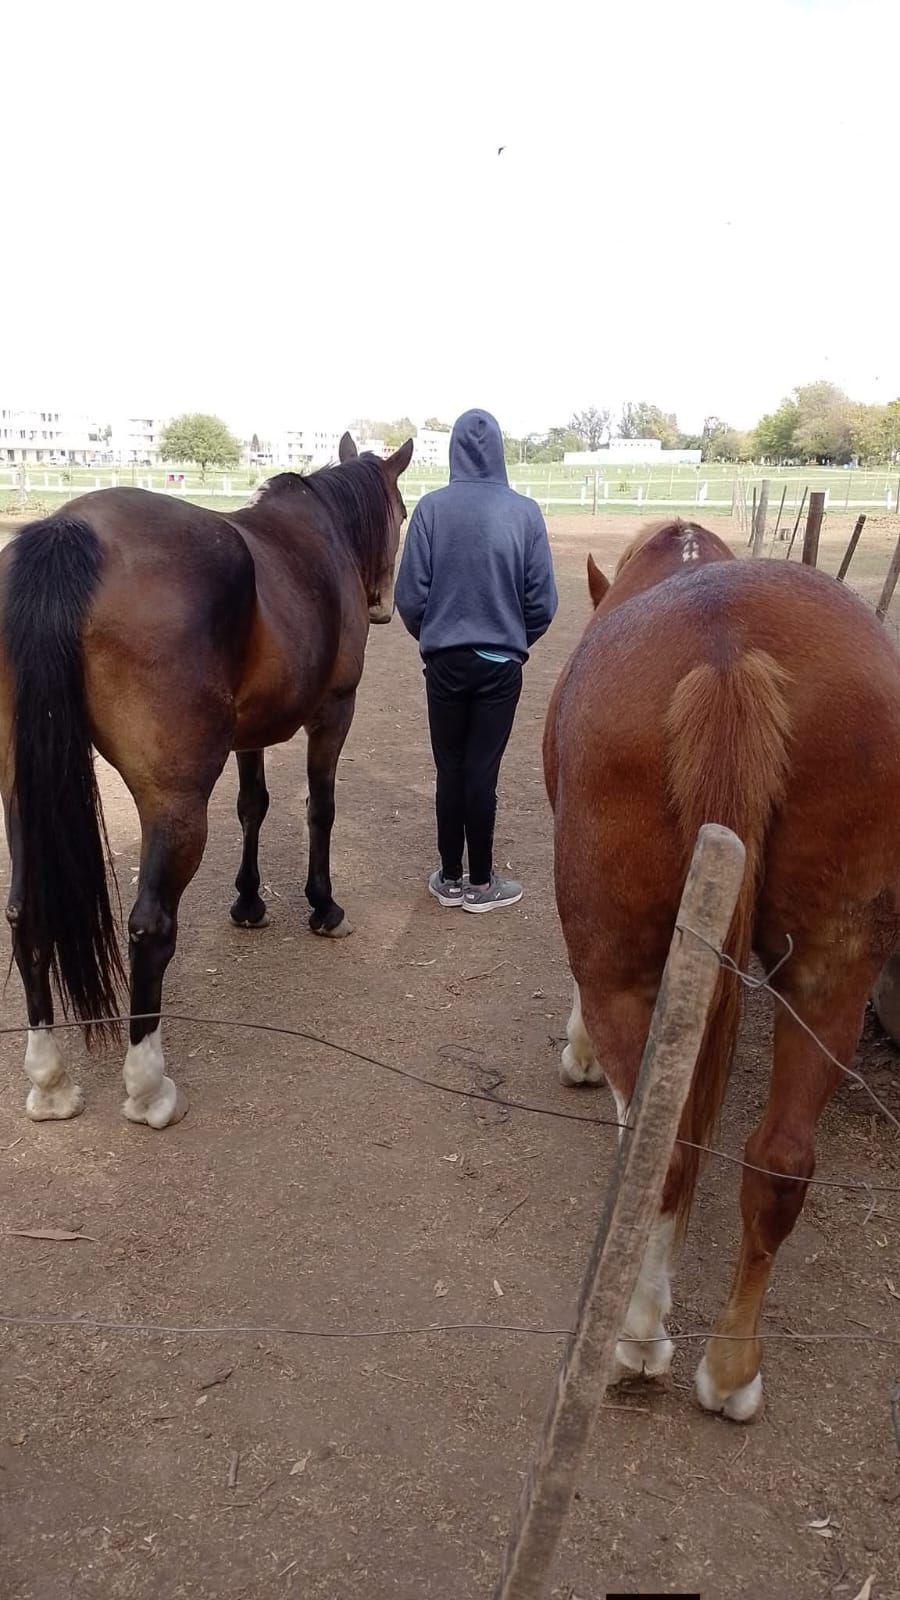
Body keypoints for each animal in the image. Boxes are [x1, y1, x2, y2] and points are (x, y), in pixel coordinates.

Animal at [0, 434, 412, 1130]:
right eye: (404, 511)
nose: (384, 604)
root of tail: (68, 530)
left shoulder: (251, 733)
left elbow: (254, 806)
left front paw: (249, 903)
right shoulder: (335, 710)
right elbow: (320, 808)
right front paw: (323, 905)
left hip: (23, 794)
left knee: (27, 915)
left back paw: (50, 1083)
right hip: (175, 801)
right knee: (149, 927)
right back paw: (148, 1087)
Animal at [544, 517, 900, 1420]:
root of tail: (728, 655)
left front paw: (579, 1054)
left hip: (625, 965)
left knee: (664, 1153)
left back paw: (637, 1343)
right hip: (836, 968)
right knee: (779, 1162)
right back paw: (733, 1370)